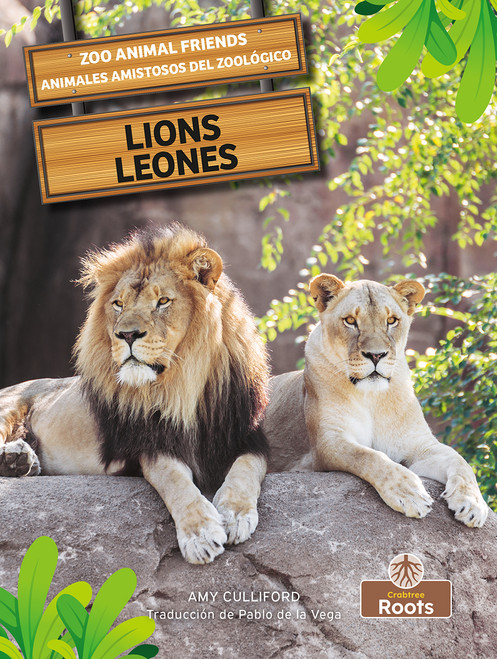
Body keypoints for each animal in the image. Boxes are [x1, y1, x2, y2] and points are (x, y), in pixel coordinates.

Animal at [0, 224, 269, 564]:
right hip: (10, 405)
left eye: (163, 301)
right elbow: (174, 480)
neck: (185, 385)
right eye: (118, 304)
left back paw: (18, 461)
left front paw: (235, 514)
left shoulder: (249, 436)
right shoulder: (150, 444)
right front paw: (201, 534)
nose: (126, 334)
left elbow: (247, 469)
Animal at [263, 274, 489, 528]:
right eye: (350, 321)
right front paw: (409, 493)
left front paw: (473, 504)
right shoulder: (328, 443)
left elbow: (460, 461)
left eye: (391, 320)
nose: (376, 355)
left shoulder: (419, 445)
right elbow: (370, 456)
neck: (372, 396)